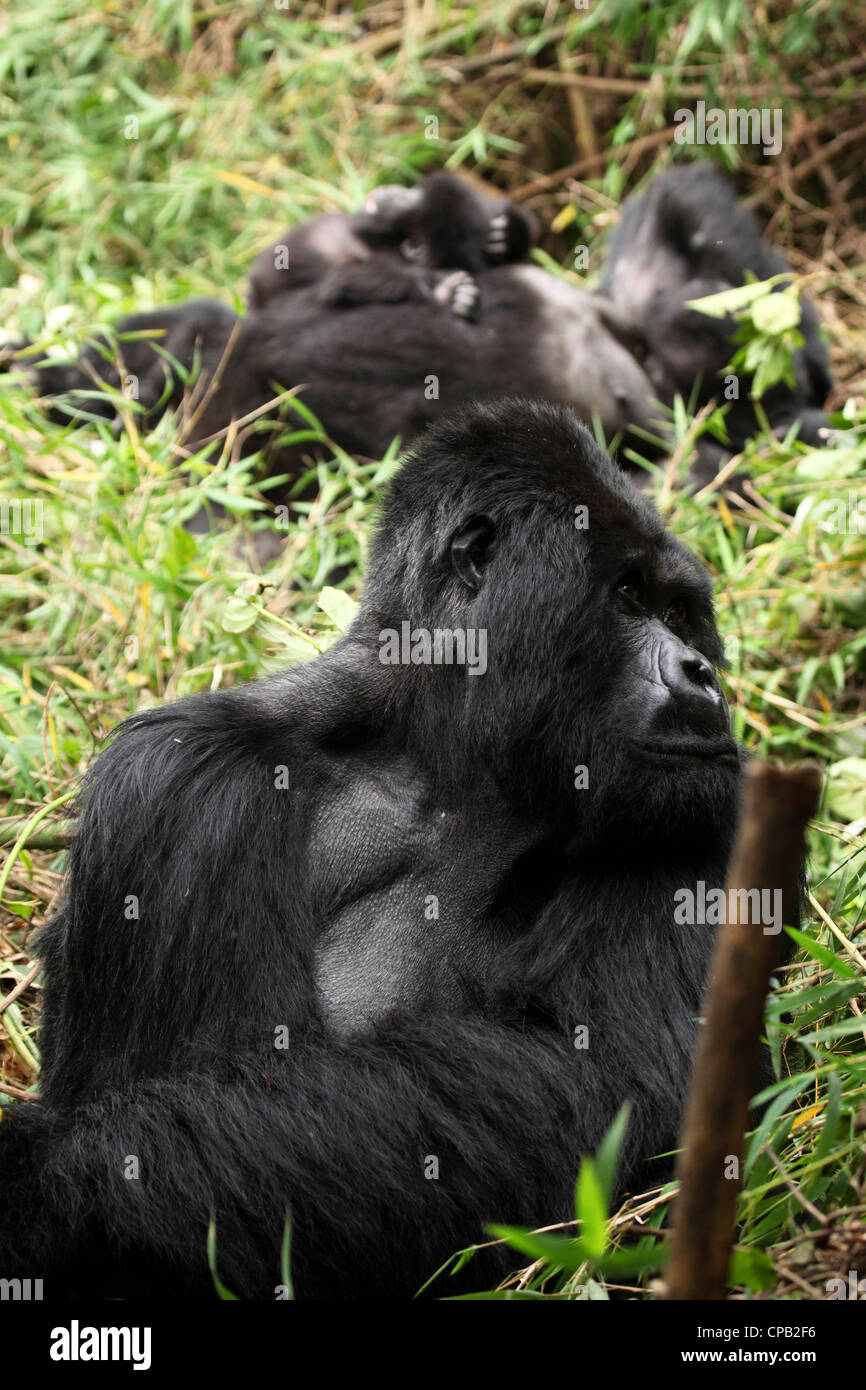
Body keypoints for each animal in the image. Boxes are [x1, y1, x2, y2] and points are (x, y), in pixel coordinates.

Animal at [0, 397, 795, 1295]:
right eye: (628, 597)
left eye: (682, 612)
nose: (702, 674)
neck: (444, 755)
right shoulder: (177, 782)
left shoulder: (715, 805)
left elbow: (635, 1074)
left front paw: (39, 1182)